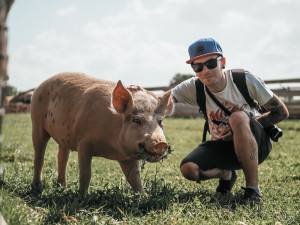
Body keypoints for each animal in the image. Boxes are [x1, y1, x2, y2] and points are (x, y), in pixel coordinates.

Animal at [30, 72, 173, 193]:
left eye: (160, 121)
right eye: (137, 120)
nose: (161, 143)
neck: (110, 149)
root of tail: (39, 86)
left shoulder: (127, 158)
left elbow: (135, 179)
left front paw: (143, 197)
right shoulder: (83, 143)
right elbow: (85, 174)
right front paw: (83, 196)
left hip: (63, 138)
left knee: (62, 158)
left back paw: (62, 186)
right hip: (36, 121)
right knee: (39, 157)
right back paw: (37, 187)